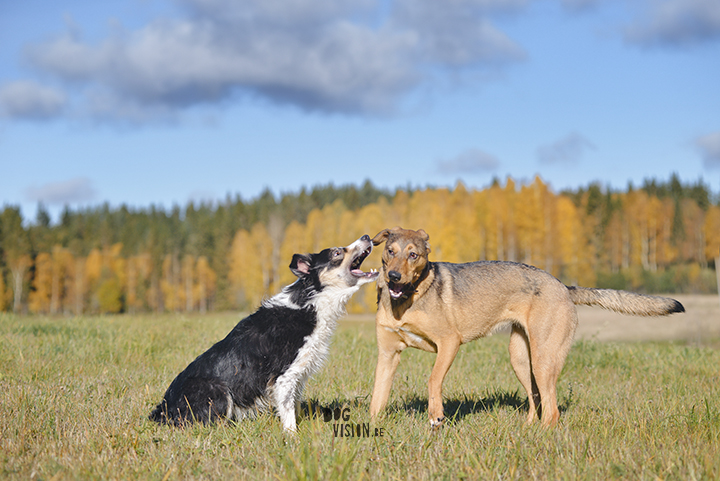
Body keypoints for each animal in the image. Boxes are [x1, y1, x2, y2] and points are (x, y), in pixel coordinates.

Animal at [150, 234, 380, 430]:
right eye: (337, 253)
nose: (367, 236)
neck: (311, 301)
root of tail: (163, 409)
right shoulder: (283, 375)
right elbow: (288, 412)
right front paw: (292, 437)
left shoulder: (299, 374)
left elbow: (295, 405)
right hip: (218, 391)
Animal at [372, 227, 688, 426]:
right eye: (390, 251)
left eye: (414, 255)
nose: (393, 277)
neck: (407, 301)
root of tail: (564, 286)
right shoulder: (388, 355)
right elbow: (377, 396)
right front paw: (372, 430)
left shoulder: (449, 342)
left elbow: (433, 380)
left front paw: (436, 414)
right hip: (521, 358)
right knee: (536, 401)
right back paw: (526, 429)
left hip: (543, 359)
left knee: (552, 410)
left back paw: (542, 435)